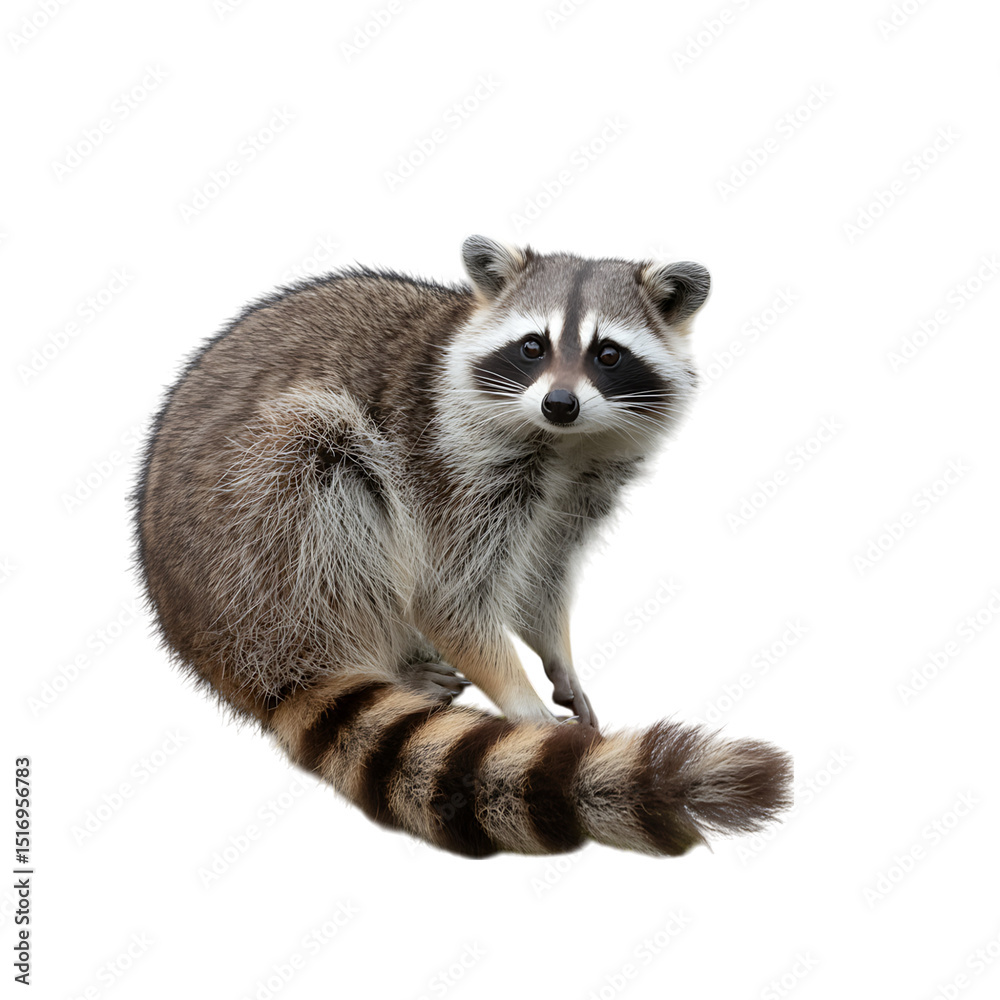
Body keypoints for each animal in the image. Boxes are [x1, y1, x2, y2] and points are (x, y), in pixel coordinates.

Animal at [133, 236, 792, 858]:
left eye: (608, 354)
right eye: (532, 347)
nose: (560, 403)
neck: (564, 442)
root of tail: (219, 648)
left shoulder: (579, 489)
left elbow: (542, 576)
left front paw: (557, 653)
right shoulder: (449, 463)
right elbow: (447, 600)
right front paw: (524, 704)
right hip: (261, 527)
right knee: (320, 471)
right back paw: (380, 661)